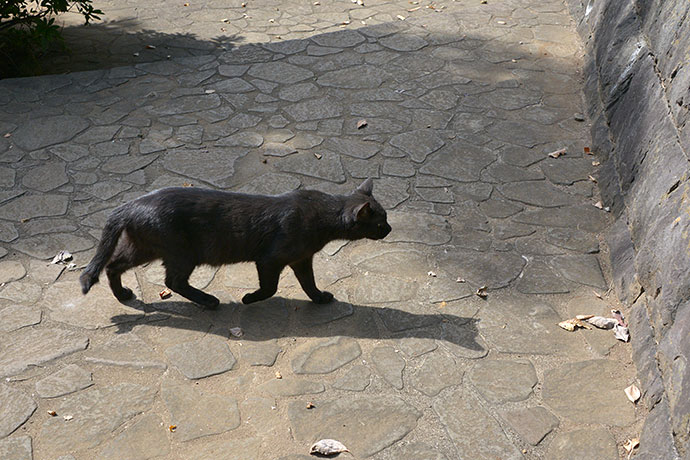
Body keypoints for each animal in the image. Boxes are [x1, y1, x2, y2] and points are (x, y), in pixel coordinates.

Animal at [78, 179, 390, 310]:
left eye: (386, 218)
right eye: (379, 223)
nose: (389, 229)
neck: (323, 213)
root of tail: (130, 203)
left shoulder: (301, 259)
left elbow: (308, 283)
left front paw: (320, 298)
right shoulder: (270, 259)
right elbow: (270, 288)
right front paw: (249, 298)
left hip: (144, 248)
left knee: (113, 265)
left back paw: (123, 295)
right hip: (181, 253)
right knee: (173, 281)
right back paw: (209, 301)